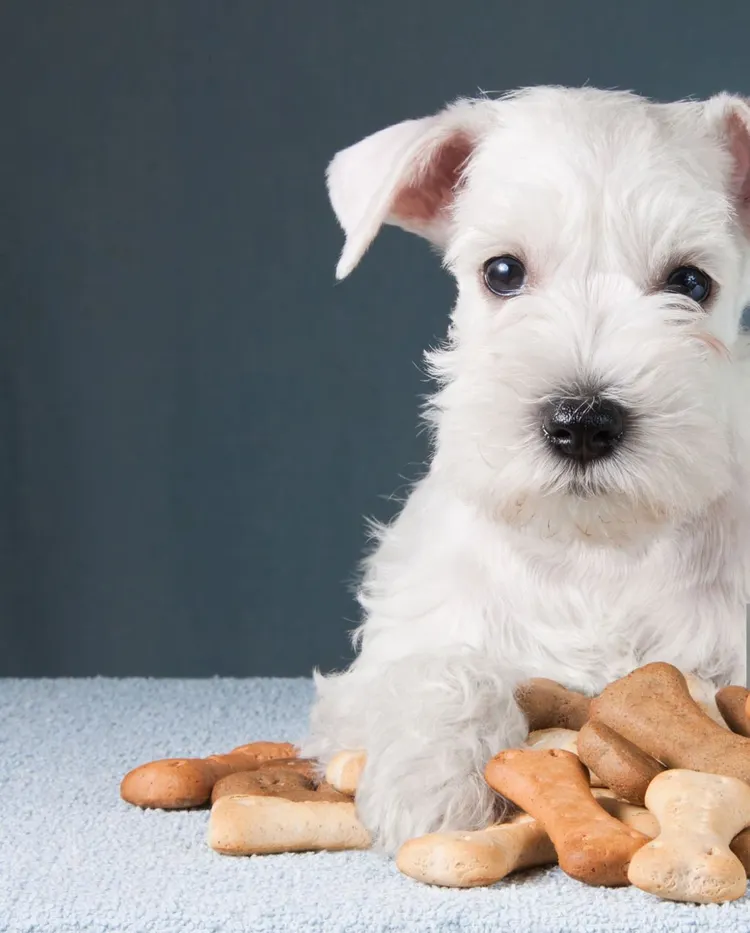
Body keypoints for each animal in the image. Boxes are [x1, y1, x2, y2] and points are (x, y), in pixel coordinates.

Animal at [300, 85, 750, 852]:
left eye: (692, 283)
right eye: (502, 271)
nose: (583, 423)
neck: (595, 550)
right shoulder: (389, 656)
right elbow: (445, 668)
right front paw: (432, 784)